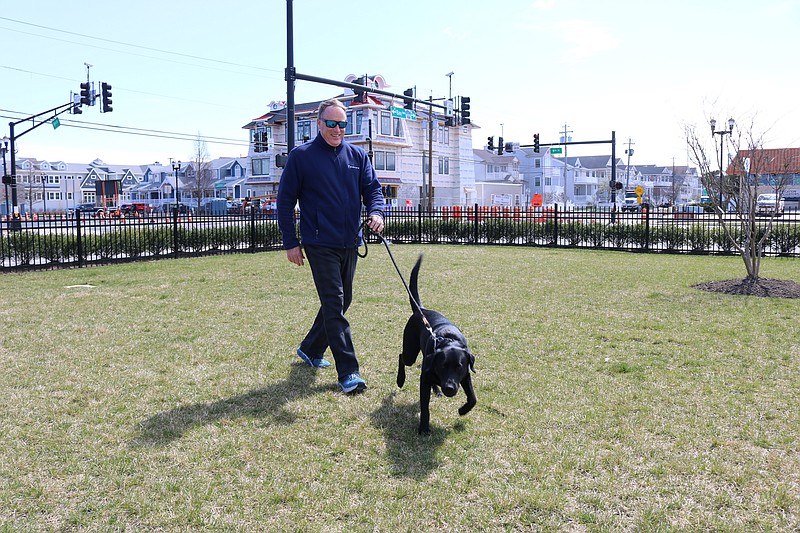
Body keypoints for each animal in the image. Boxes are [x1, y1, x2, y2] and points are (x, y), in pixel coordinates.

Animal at [396, 254, 476, 432]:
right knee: (401, 356)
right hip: (410, 352)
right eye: (443, 366)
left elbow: (473, 398)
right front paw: (424, 428)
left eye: (459, 366)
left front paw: (463, 410)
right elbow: (425, 407)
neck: (449, 340)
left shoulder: (466, 375)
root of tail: (421, 309)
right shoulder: (424, 379)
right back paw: (400, 380)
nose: (449, 388)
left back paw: (437, 390)